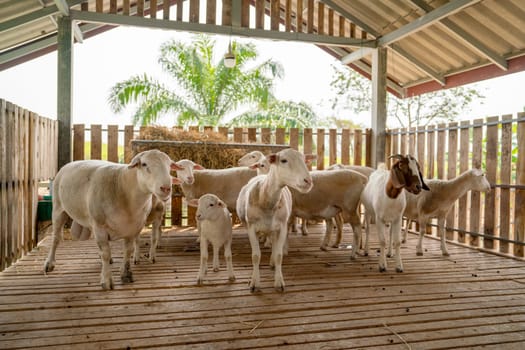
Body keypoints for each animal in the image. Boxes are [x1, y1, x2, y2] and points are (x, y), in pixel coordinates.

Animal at [43, 149, 178, 288]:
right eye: (144, 164)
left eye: (169, 166)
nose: (166, 188)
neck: (123, 188)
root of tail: (69, 164)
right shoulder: (100, 225)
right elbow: (106, 253)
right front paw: (107, 280)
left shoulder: (133, 228)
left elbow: (128, 251)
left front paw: (126, 274)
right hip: (58, 208)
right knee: (56, 238)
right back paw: (49, 263)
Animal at [236, 148, 314, 292]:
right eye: (283, 160)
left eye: (304, 160)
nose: (308, 181)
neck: (266, 200)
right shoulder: (251, 228)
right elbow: (256, 256)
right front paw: (254, 282)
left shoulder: (282, 227)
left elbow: (279, 255)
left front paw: (279, 281)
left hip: (274, 228)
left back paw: (272, 262)